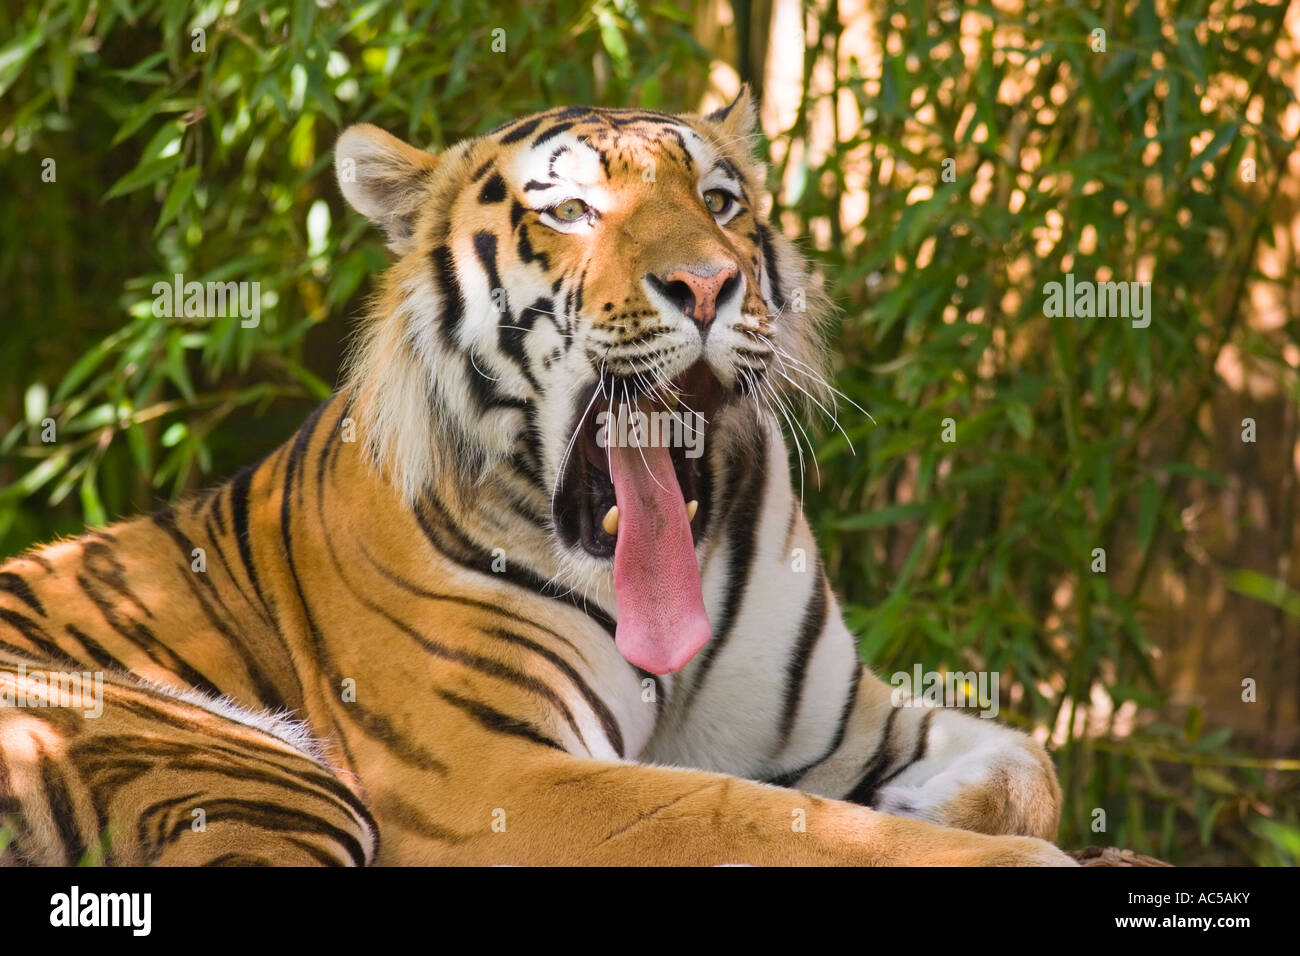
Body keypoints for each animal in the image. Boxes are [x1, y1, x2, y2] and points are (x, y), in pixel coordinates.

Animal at [0, 89, 1071, 868]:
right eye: (569, 211)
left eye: (720, 202)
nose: (709, 284)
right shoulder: (494, 775)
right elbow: (743, 813)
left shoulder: (843, 723)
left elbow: (1030, 759)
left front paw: (935, 800)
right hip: (221, 758)